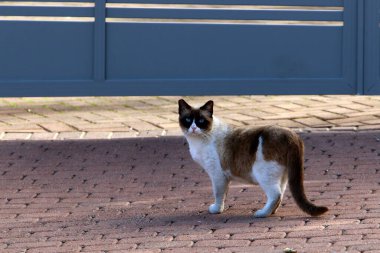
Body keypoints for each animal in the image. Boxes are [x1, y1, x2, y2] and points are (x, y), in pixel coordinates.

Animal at [180, 99, 328, 217]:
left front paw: (216, 210)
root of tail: (291, 134)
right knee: (280, 194)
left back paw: (262, 213)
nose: (193, 128)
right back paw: (271, 212)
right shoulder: (224, 177)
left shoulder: (217, 175)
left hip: (264, 174)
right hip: (283, 176)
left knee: (275, 194)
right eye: (188, 120)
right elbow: (224, 194)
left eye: (200, 121)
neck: (198, 140)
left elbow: (218, 194)